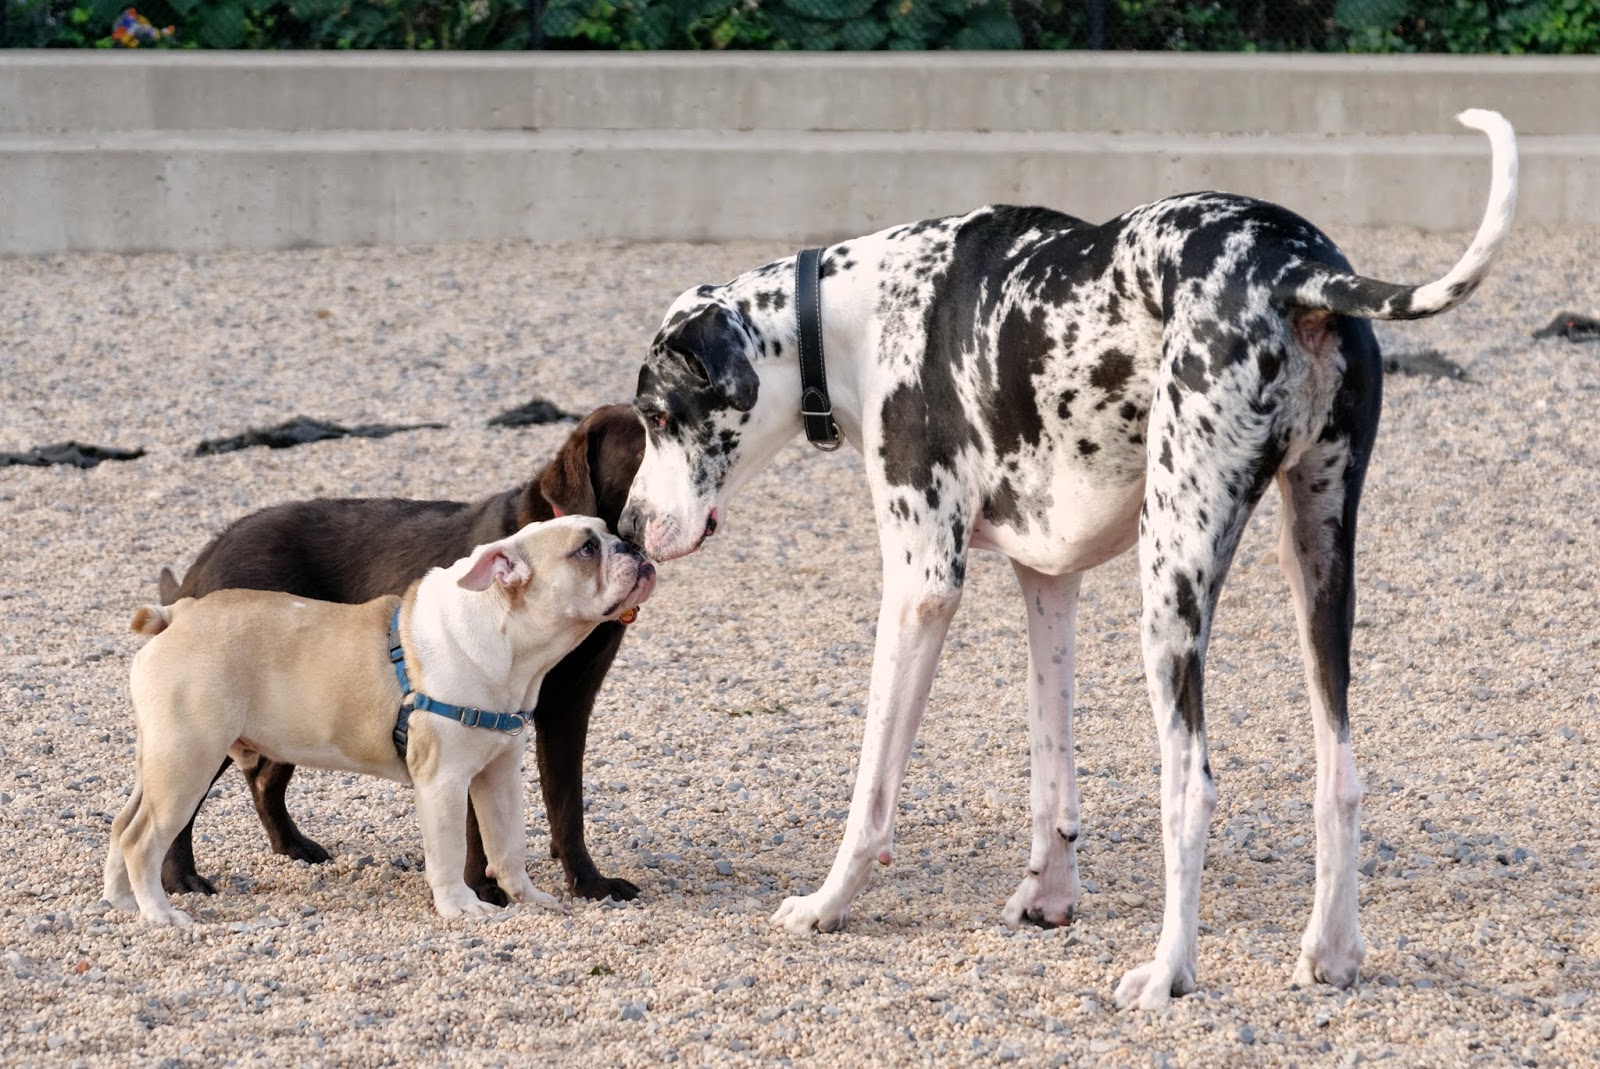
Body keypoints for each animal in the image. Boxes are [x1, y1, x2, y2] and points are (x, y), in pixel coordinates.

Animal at [154, 400, 643, 902]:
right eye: (649, 439)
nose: (631, 547)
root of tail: (206, 559)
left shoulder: (568, 706)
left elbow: (566, 804)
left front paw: (588, 882)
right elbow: (470, 821)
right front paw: (480, 889)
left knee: (264, 779)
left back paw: (291, 845)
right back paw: (180, 878)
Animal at [617, 112, 1516, 1004]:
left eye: (658, 416)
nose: (626, 524)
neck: (854, 316)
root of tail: (1299, 267)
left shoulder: (919, 585)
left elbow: (872, 787)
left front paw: (827, 902)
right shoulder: (1049, 582)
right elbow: (1051, 769)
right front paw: (1049, 895)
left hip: (1170, 581)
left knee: (1190, 789)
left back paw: (1169, 969)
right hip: (1318, 566)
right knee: (1341, 775)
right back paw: (1331, 951)